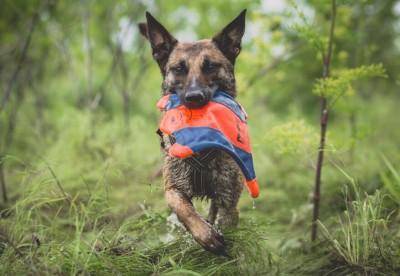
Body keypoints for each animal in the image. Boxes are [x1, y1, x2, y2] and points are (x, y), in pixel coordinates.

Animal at [139, 9, 248, 254]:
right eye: (179, 68)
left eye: (210, 66)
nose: (194, 97)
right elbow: (185, 211)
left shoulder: (228, 200)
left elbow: (228, 227)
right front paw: (205, 236)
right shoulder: (173, 188)